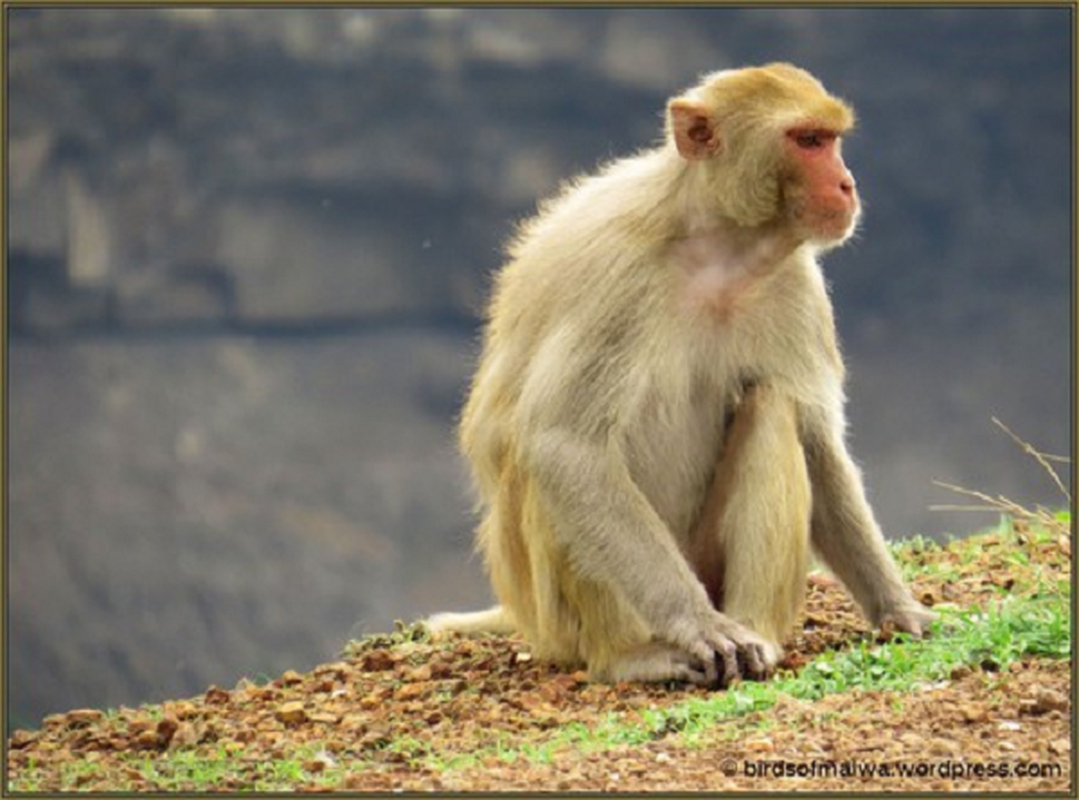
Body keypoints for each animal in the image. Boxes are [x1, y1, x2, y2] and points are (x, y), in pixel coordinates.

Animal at [429, 62, 936, 686]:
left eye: (832, 140)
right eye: (809, 140)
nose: (847, 184)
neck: (719, 244)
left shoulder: (797, 286)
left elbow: (818, 446)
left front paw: (898, 607)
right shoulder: (614, 273)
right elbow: (564, 445)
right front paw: (697, 624)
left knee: (772, 405)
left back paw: (758, 632)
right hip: (555, 617)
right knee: (544, 463)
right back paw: (631, 655)